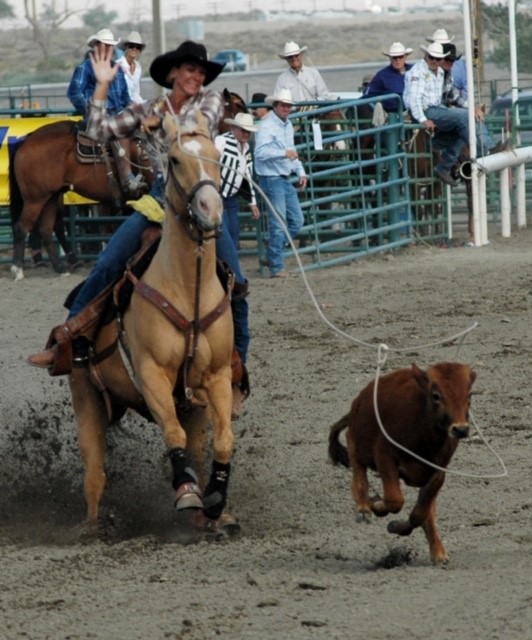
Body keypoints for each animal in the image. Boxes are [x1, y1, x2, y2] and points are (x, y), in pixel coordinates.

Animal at [68, 111, 237, 540]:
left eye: (216, 156)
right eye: (175, 159)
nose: (210, 209)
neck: (187, 288)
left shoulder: (216, 377)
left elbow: (223, 441)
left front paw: (216, 502)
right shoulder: (152, 374)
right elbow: (172, 434)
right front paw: (188, 493)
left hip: (191, 407)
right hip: (86, 397)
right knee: (94, 472)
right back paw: (93, 527)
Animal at [330, 362, 476, 568]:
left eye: (469, 394)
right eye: (436, 395)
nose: (461, 429)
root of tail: (361, 399)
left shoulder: (438, 472)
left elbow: (420, 514)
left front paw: (395, 526)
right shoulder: (385, 457)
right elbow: (395, 501)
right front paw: (375, 505)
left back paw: (438, 552)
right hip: (357, 443)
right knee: (358, 472)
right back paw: (363, 508)